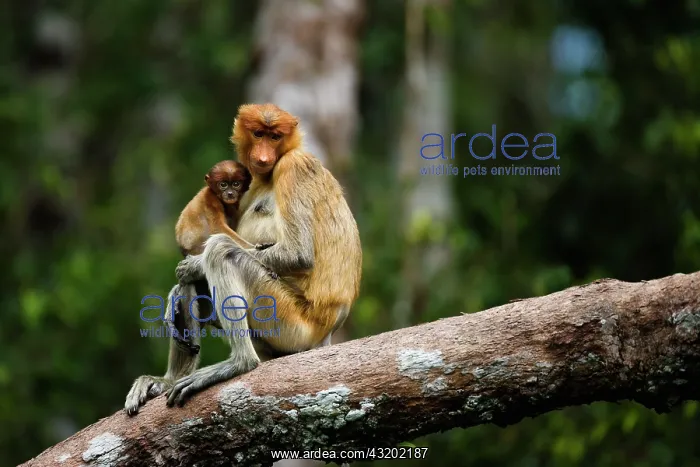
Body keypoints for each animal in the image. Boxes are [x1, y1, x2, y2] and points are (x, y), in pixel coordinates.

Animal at [124, 103, 362, 414]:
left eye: (275, 137)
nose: (262, 157)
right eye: (258, 134)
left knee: (220, 252)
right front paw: (174, 295)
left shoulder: (294, 167)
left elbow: (297, 254)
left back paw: (240, 363)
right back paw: (167, 380)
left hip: (291, 322)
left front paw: (193, 265)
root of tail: (328, 329)